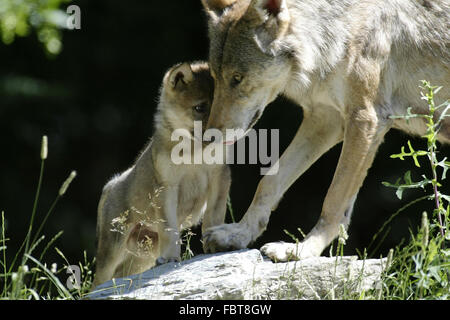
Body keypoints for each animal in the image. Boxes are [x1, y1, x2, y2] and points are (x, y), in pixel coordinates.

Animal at [201, 0, 450, 262]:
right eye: (216, 77)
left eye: (237, 78)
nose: (208, 137)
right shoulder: (325, 118)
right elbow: (269, 180)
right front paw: (240, 233)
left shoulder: (365, 120)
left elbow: (334, 200)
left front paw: (303, 250)